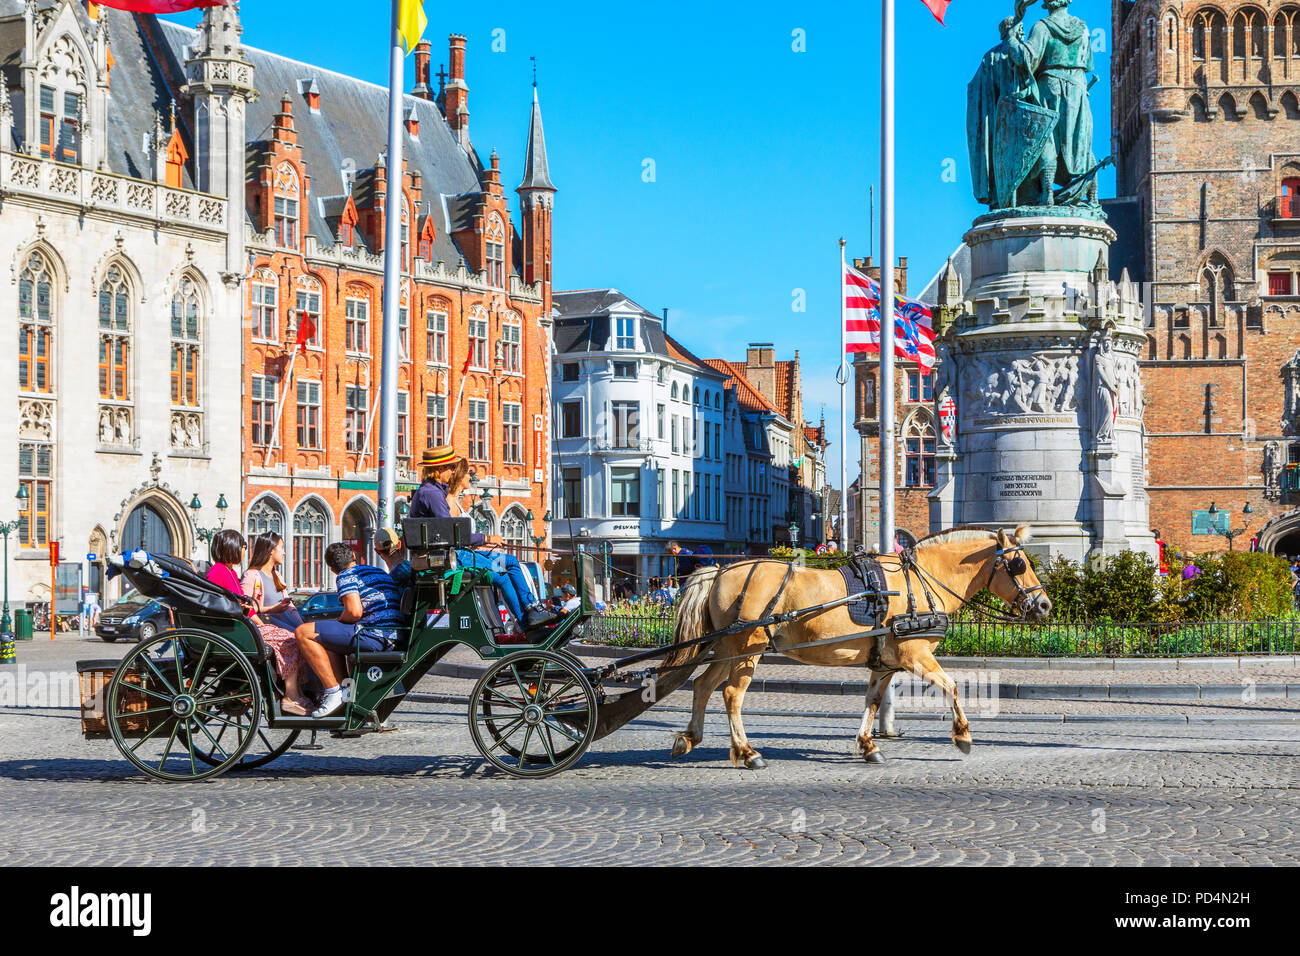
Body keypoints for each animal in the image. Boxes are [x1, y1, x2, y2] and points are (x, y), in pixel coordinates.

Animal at [665, 528, 1050, 764]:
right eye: (1019, 565)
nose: (1044, 605)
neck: (920, 581)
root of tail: (719, 571)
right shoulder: (916, 656)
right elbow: (953, 686)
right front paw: (962, 736)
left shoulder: (886, 662)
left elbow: (873, 701)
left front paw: (869, 746)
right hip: (749, 649)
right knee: (732, 694)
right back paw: (747, 753)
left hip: (728, 648)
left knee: (703, 685)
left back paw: (690, 737)